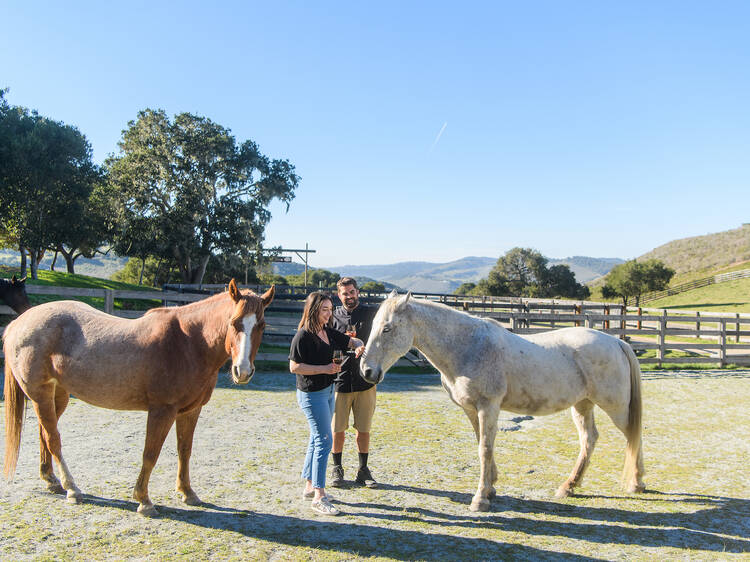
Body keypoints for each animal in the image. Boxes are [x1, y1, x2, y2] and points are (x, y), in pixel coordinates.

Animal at [3, 278, 274, 516]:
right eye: (234, 322)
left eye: (261, 326)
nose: (242, 371)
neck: (188, 342)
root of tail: (19, 323)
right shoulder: (162, 410)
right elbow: (150, 453)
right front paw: (144, 500)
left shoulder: (190, 411)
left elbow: (184, 450)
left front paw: (187, 492)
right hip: (40, 394)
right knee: (53, 439)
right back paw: (72, 488)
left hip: (56, 395)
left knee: (44, 434)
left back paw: (51, 480)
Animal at [360, 290, 648, 510]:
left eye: (387, 328)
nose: (367, 371)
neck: (468, 346)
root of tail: (616, 342)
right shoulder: (471, 409)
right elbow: (482, 444)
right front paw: (491, 488)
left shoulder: (488, 406)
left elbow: (485, 449)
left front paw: (480, 500)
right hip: (582, 405)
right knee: (589, 439)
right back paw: (569, 487)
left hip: (615, 407)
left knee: (633, 434)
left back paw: (636, 483)